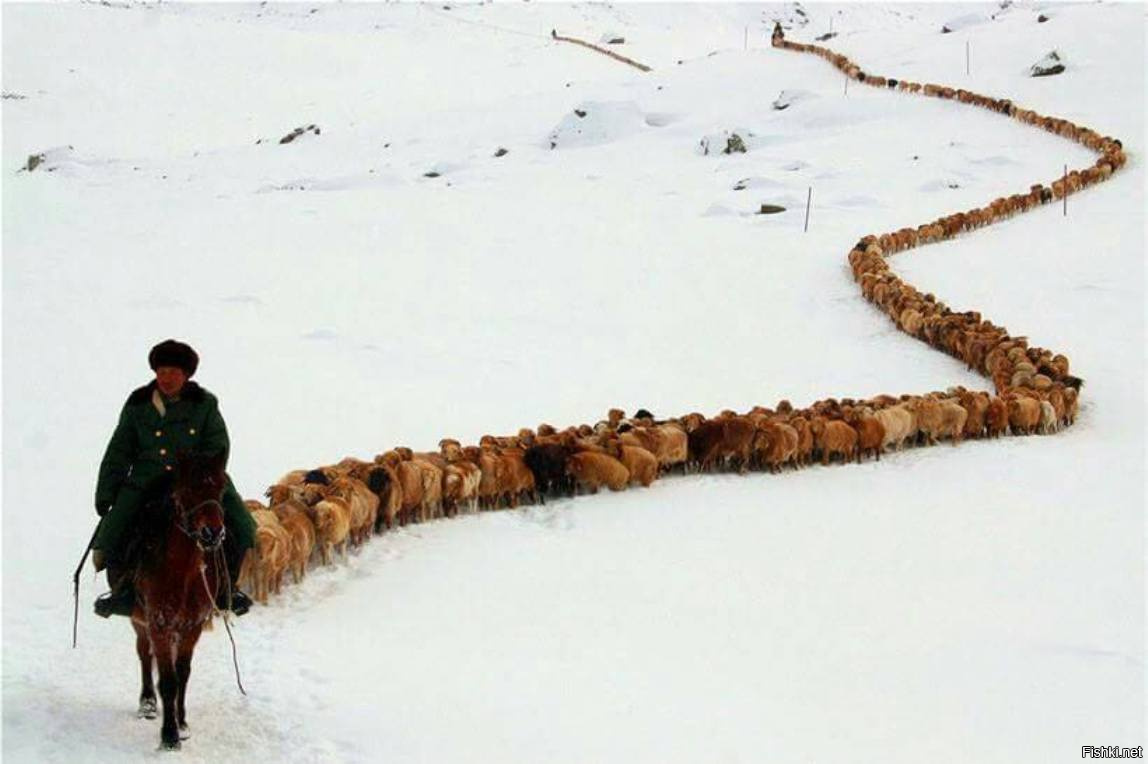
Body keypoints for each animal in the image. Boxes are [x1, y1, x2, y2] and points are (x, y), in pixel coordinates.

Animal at [130, 449, 228, 747]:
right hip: (140, 621)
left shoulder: (192, 626)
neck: (182, 572)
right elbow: (168, 681)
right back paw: (148, 703)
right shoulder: (159, 624)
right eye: (188, 489)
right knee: (144, 653)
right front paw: (169, 735)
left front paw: (182, 724)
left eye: (222, 488)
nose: (212, 533)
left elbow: (182, 674)